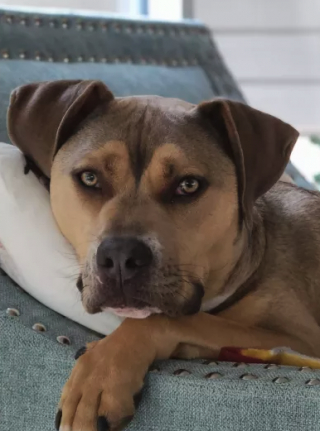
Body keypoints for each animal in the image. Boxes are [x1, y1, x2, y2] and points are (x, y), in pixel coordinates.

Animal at [6, 79, 320, 430]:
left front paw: (100, 374)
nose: (120, 258)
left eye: (189, 185)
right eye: (89, 178)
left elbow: (173, 321)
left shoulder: (301, 340)